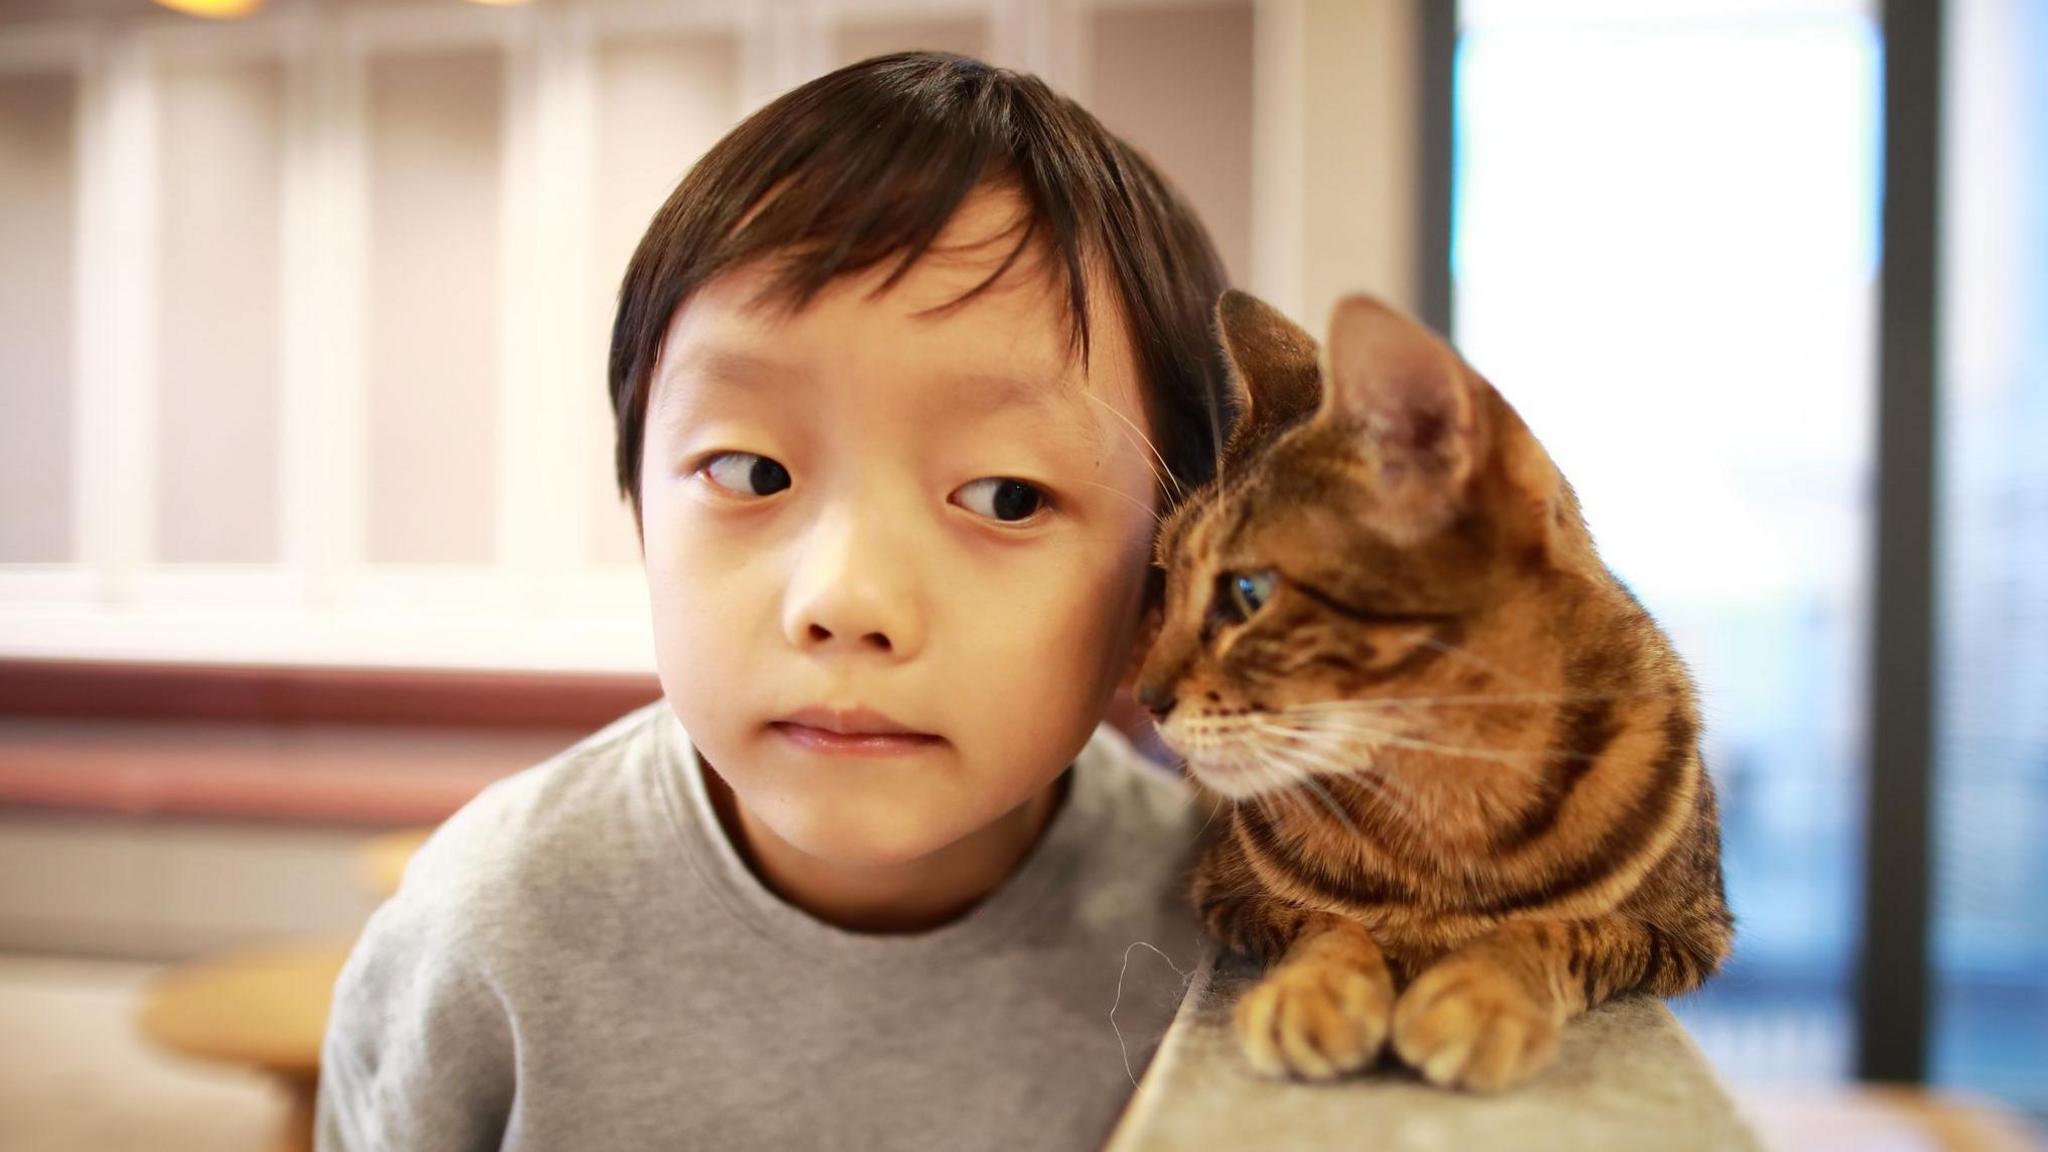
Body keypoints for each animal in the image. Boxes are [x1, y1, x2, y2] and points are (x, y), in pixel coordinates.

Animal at [1130, 286, 1736, 1082]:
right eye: (1163, 580)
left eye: (1249, 591)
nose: (1144, 696)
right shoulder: (1227, 895)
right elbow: (1324, 923)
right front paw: (1317, 989)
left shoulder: (1685, 934)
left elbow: (1562, 932)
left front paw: (1482, 994)